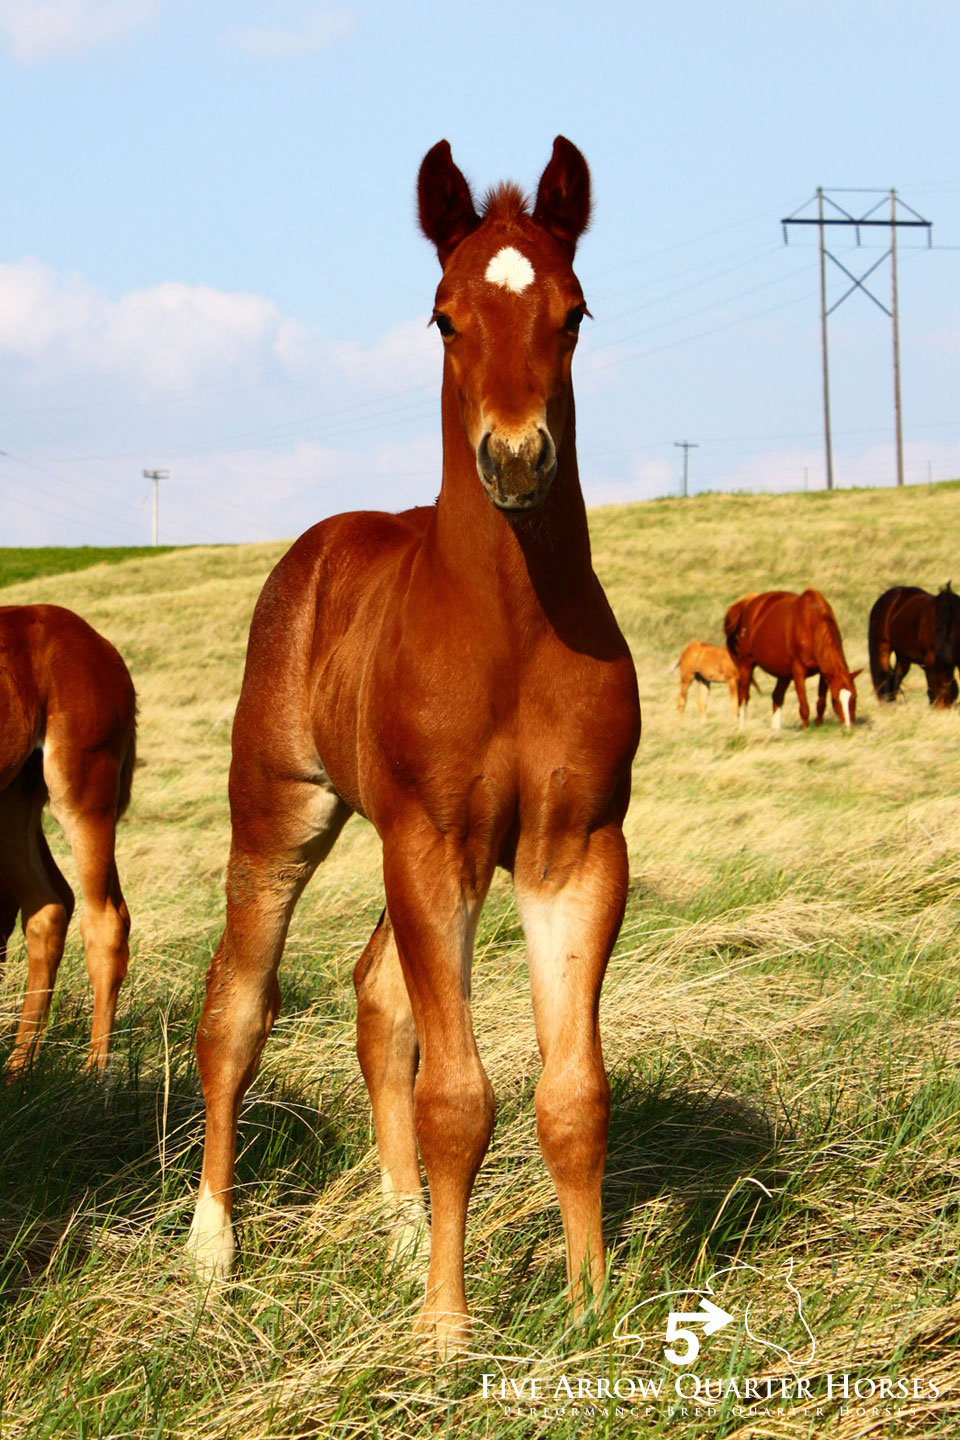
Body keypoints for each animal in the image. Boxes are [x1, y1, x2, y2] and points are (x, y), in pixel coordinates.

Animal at [0, 605, 136, 1070]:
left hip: (81, 790)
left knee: (106, 923)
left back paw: (94, 1074)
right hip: (14, 798)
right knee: (47, 907)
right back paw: (19, 1070)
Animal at [188, 138, 641, 1353]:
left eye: (575, 312)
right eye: (444, 316)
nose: (518, 459)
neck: (511, 634)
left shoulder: (572, 851)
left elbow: (572, 1093)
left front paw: (589, 1308)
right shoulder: (435, 846)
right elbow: (459, 1097)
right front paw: (446, 1329)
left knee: (377, 998)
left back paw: (396, 1232)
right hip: (283, 814)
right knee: (236, 1007)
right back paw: (211, 1252)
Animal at [724, 589, 860, 730]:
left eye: (854, 697)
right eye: (834, 699)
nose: (848, 726)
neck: (810, 623)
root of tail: (749, 605)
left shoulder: (825, 673)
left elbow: (820, 704)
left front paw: (818, 726)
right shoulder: (798, 671)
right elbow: (804, 706)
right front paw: (806, 730)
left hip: (783, 674)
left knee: (776, 696)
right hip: (747, 663)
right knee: (743, 696)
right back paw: (742, 728)